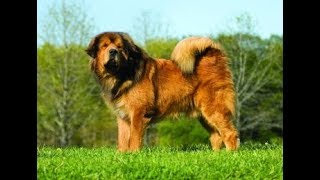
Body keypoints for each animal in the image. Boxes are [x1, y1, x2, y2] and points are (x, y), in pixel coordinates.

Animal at [85, 31, 240, 151]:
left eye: (120, 47)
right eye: (105, 46)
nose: (113, 51)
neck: (121, 75)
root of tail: (214, 56)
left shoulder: (138, 113)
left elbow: (134, 138)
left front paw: (134, 154)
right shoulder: (123, 116)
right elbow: (123, 140)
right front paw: (122, 155)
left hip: (213, 109)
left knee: (229, 134)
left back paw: (230, 155)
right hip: (204, 115)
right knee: (216, 136)